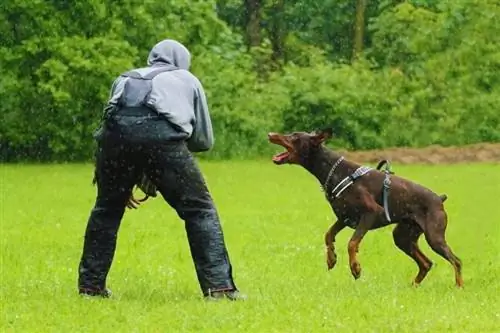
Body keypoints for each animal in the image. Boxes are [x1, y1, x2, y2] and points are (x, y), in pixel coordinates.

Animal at [268, 128, 462, 286]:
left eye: (294, 136)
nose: (270, 134)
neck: (334, 170)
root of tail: (439, 199)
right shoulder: (344, 217)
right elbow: (328, 235)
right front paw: (331, 258)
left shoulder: (371, 213)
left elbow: (352, 243)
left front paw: (355, 268)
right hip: (403, 236)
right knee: (426, 263)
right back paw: (413, 286)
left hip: (434, 236)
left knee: (456, 261)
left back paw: (458, 287)